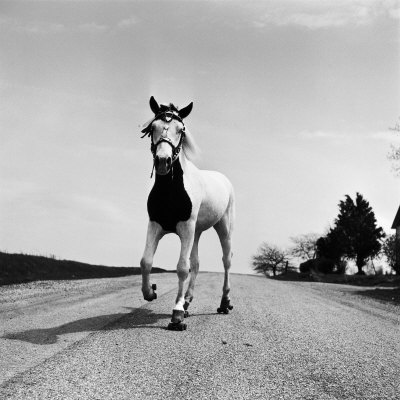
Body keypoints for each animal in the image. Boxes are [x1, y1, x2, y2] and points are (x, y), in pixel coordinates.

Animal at [140, 97, 234, 332]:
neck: (171, 191)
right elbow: (146, 261)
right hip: (196, 232)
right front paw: (150, 292)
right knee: (197, 262)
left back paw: (224, 303)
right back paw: (188, 301)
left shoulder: (185, 228)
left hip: (223, 227)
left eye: (180, 129)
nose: (162, 161)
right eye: (152, 128)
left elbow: (182, 268)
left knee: (226, 260)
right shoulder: (155, 225)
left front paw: (177, 315)